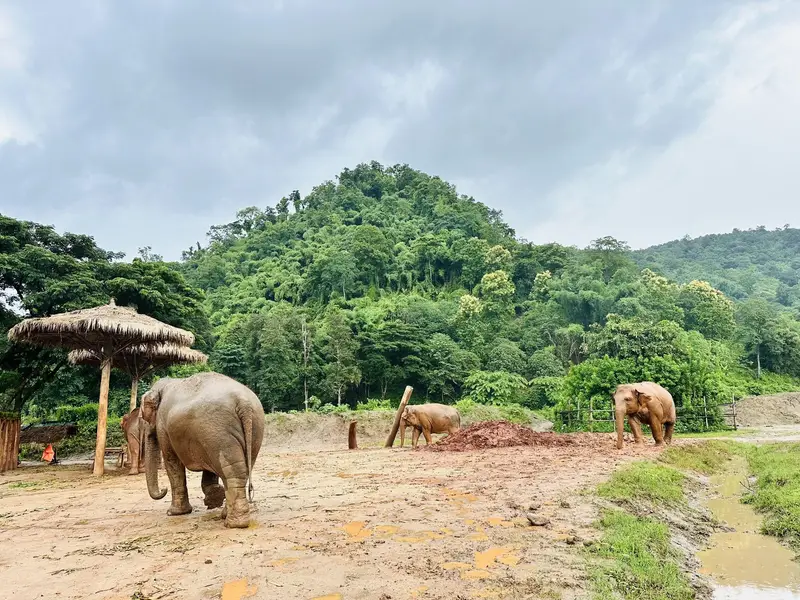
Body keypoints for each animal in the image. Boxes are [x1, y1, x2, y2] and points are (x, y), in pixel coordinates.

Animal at [140, 372, 265, 529]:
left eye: (144, 416)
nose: (163, 489)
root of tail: (244, 403)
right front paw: (214, 497)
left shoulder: (163, 426)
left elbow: (172, 461)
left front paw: (173, 513)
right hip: (252, 428)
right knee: (243, 468)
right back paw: (226, 515)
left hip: (218, 432)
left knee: (233, 471)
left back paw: (234, 524)